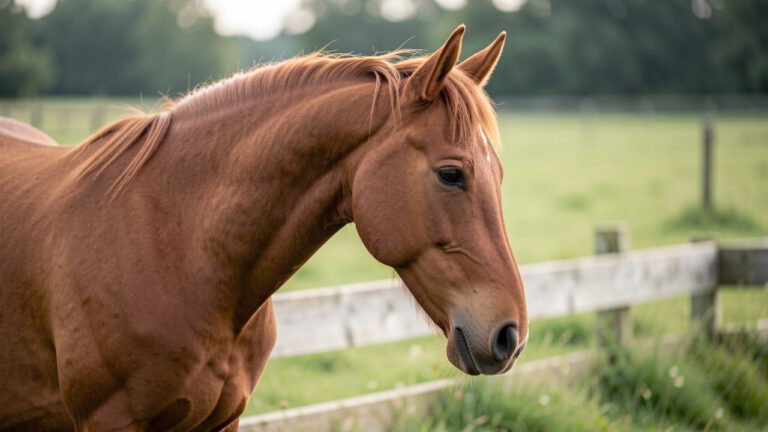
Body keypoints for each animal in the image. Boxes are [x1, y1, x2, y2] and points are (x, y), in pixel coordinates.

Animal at [0, 26, 528, 431]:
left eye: (502, 174)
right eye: (451, 174)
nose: (511, 335)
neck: (179, 249)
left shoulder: (223, 419)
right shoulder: (110, 419)